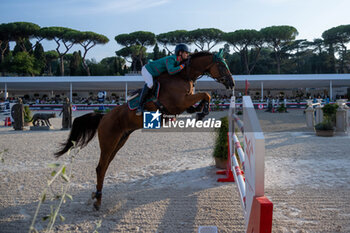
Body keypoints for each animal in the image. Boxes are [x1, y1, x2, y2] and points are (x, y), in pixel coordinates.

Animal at [55, 50, 235, 210]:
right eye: (222, 65)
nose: (232, 83)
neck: (183, 75)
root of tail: (103, 117)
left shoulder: (185, 104)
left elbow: (204, 98)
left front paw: (201, 111)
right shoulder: (178, 103)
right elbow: (206, 94)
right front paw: (203, 111)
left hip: (119, 141)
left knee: (104, 167)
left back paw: (97, 196)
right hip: (108, 142)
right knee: (100, 167)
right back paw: (98, 201)